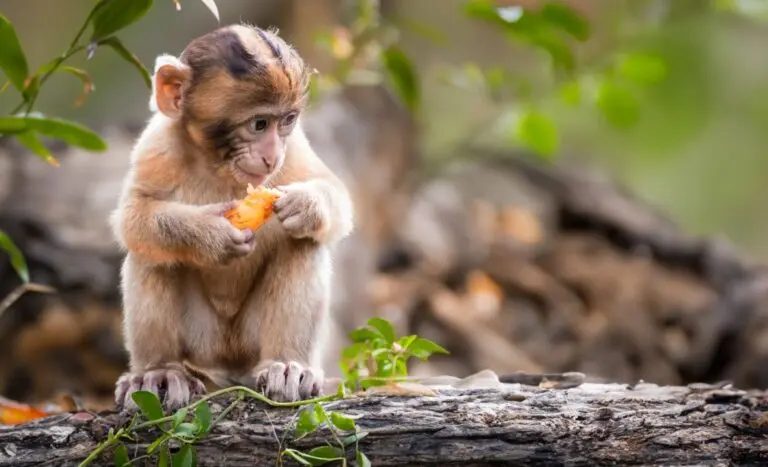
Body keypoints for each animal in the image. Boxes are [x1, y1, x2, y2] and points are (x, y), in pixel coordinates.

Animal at [109, 23, 354, 410]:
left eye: (287, 121)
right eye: (259, 124)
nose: (271, 156)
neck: (217, 164)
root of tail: (230, 367)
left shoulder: (294, 146)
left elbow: (336, 196)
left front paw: (305, 204)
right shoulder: (157, 144)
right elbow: (134, 217)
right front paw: (209, 233)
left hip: (250, 342)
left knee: (302, 243)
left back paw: (288, 366)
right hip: (203, 343)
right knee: (152, 251)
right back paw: (159, 372)